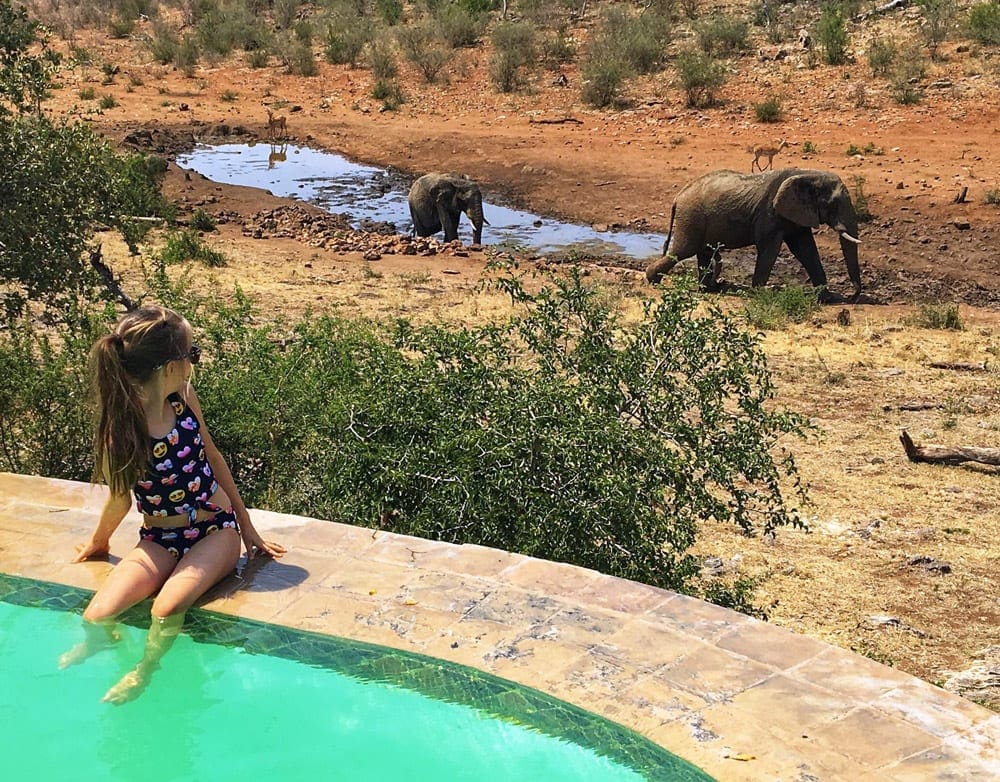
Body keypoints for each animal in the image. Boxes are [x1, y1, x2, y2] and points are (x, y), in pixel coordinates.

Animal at [644, 169, 864, 304]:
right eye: (833, 204)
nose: (853, 296)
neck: (807, 173)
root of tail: (678, 196)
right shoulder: (770, 213)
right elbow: (770, 248)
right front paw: (759, 293)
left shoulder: (797, 214)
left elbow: (806, 249)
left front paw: (826, 298)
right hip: (691, 216)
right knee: (684, 249)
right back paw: (653, 279)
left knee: (702, 251)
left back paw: (709, 288)